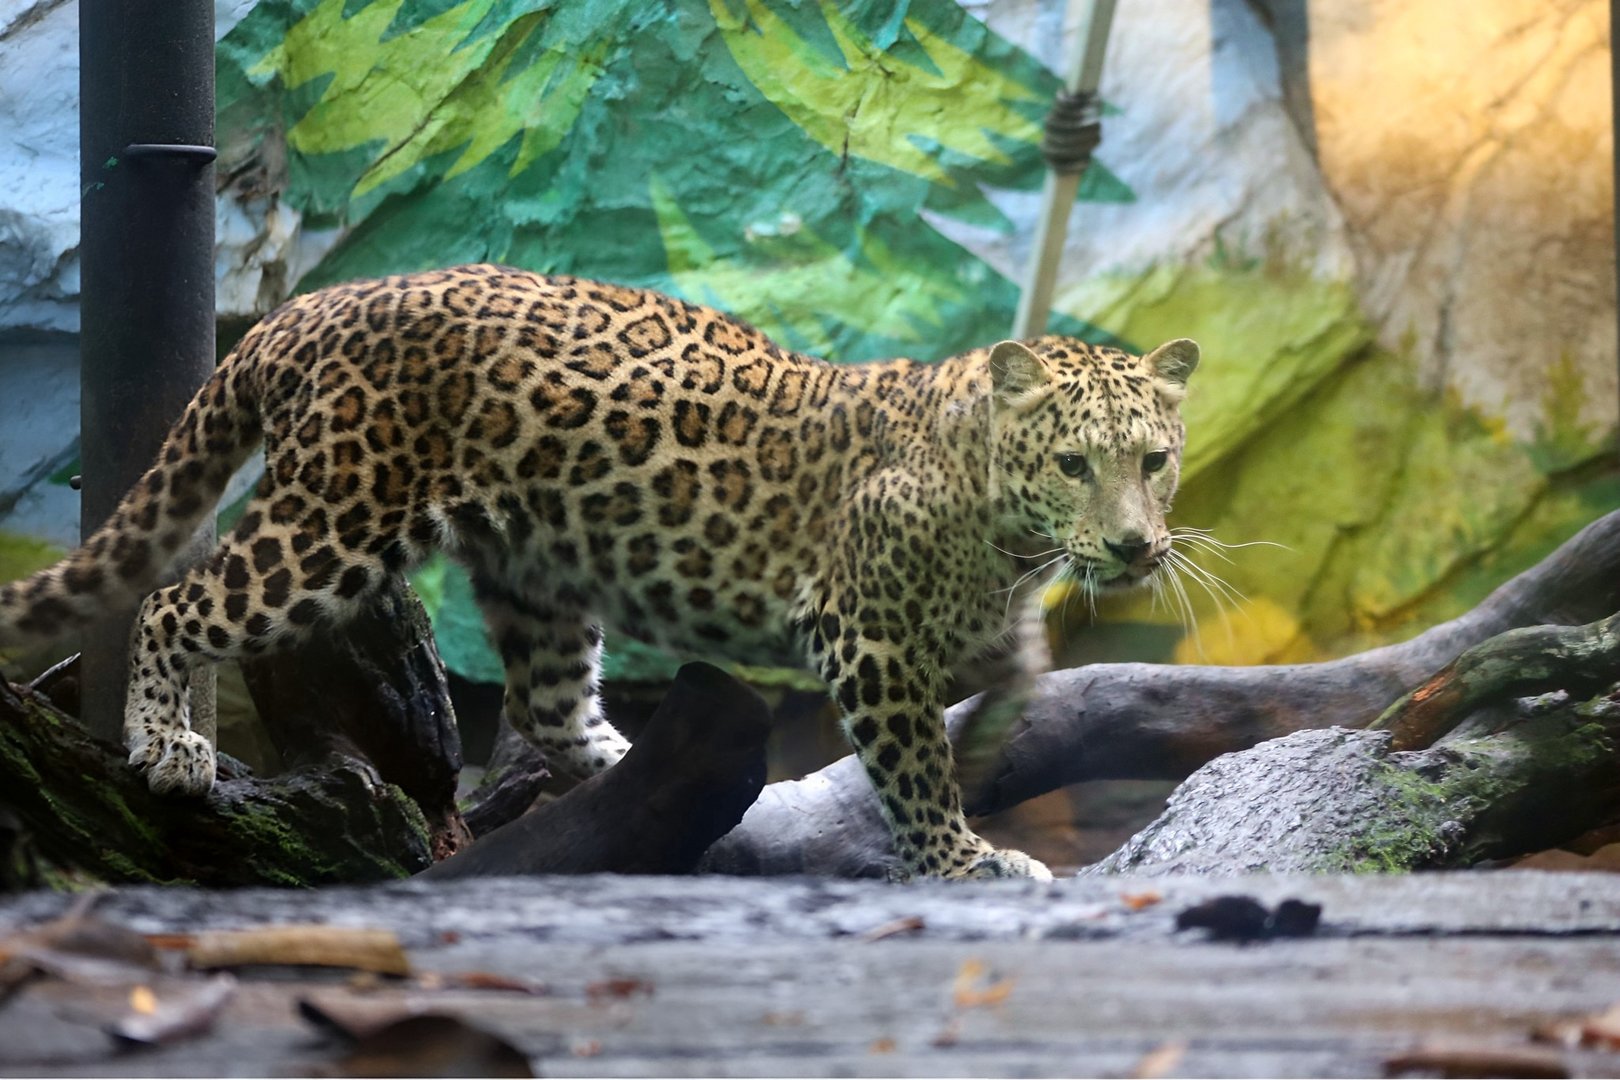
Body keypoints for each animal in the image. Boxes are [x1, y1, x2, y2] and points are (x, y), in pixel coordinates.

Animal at [0, 263, 1199, 881]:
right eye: (1073, 464)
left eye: (1154, 462)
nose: (1135, 547)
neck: (1006, 529)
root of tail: (302, 308)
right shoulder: (864, 635)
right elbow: (913, 766)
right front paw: (957, 860)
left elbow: (1023, 681)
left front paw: (996, 738)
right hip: (332, 519)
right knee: (176, 599)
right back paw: (168, 746)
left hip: (537, 567)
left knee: (548, 706)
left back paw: (668, 785)